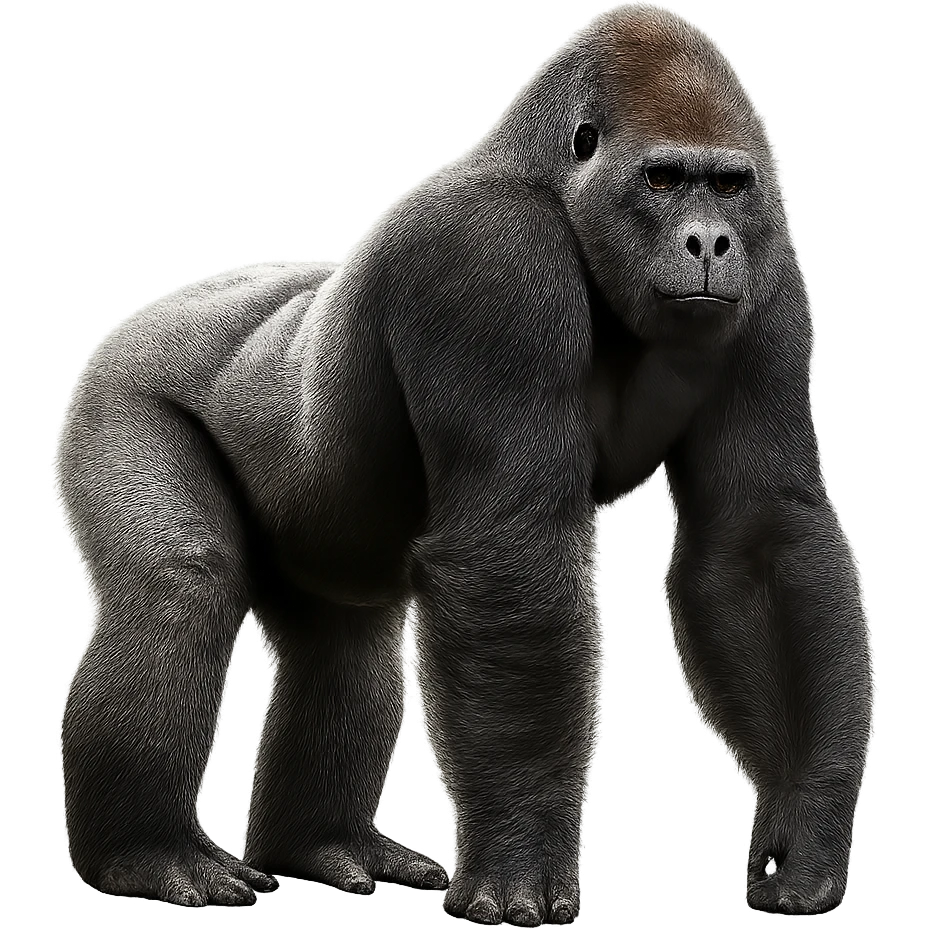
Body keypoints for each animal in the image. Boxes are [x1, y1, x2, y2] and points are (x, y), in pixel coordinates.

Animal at [56, 3, 870, 920]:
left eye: (728, 186)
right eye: (662, 181)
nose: (709, 242)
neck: (547, 179)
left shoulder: (772, 274)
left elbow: (755, 541)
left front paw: (804, 825)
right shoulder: (488, 257)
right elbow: (506, 546)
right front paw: (520, 853)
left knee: (342, 654)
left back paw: (321, 842)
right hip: (118, 384)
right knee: (179, 585)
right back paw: (146, 852)